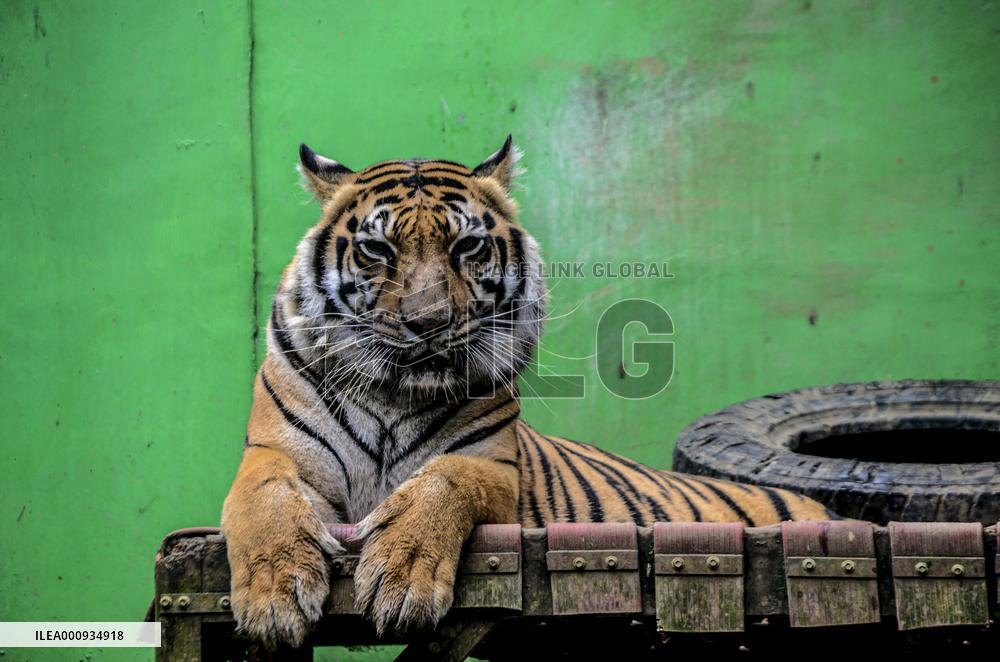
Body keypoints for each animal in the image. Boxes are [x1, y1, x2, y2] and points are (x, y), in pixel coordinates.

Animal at [220, 136, 835, 648]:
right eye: (377, 250)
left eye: (467, 246)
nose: (428, 322)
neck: (396, 396)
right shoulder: (274, 453)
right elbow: (263, 497)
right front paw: (275, 594)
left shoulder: (494, 469)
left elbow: (445, 480)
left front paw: (402, 575)